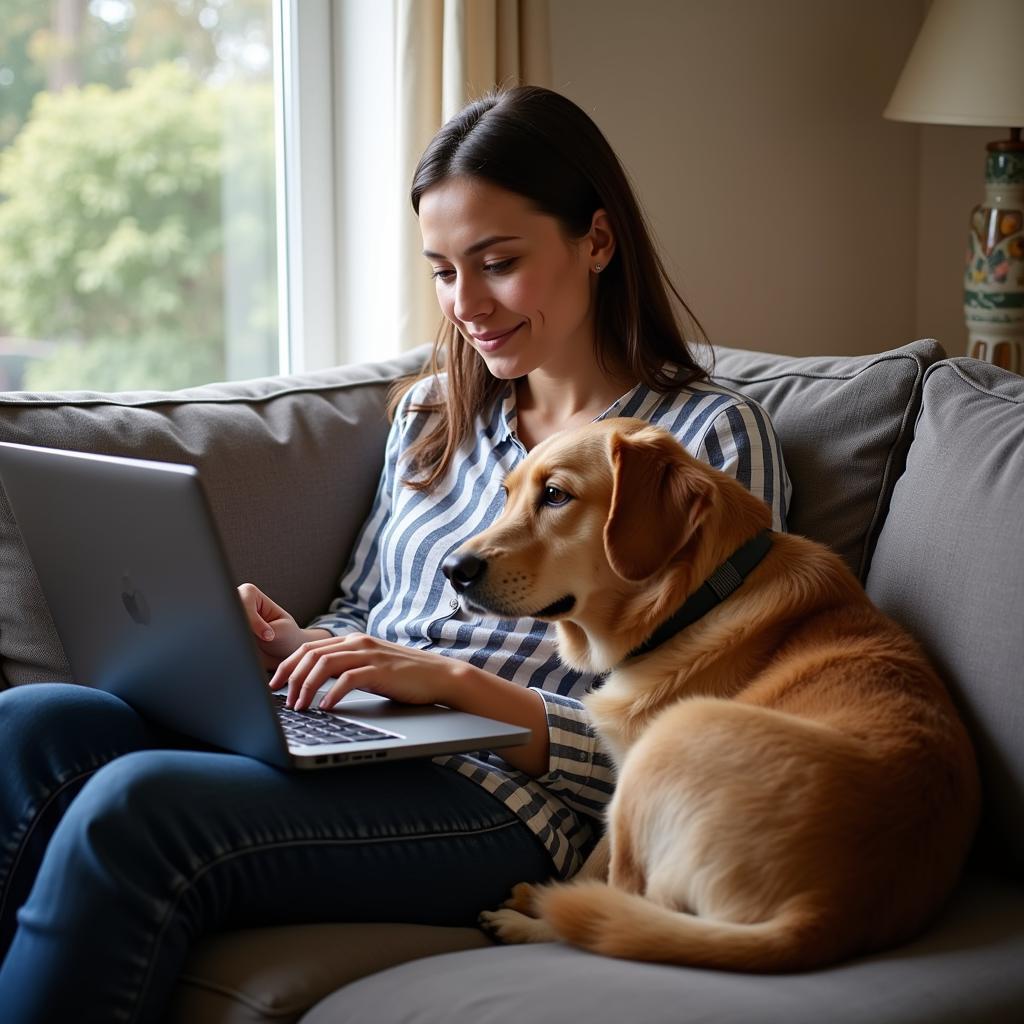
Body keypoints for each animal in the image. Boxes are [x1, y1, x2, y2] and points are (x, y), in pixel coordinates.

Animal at [446, 413, 974, 966]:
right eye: (507, 494)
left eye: (554, 495)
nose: (452, 570)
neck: (695, 601)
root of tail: (824, 911)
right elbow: (593, 864)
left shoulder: (629, 769)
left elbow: (603, 871)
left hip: (669, 740)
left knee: (620, 909)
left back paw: (527, 921)